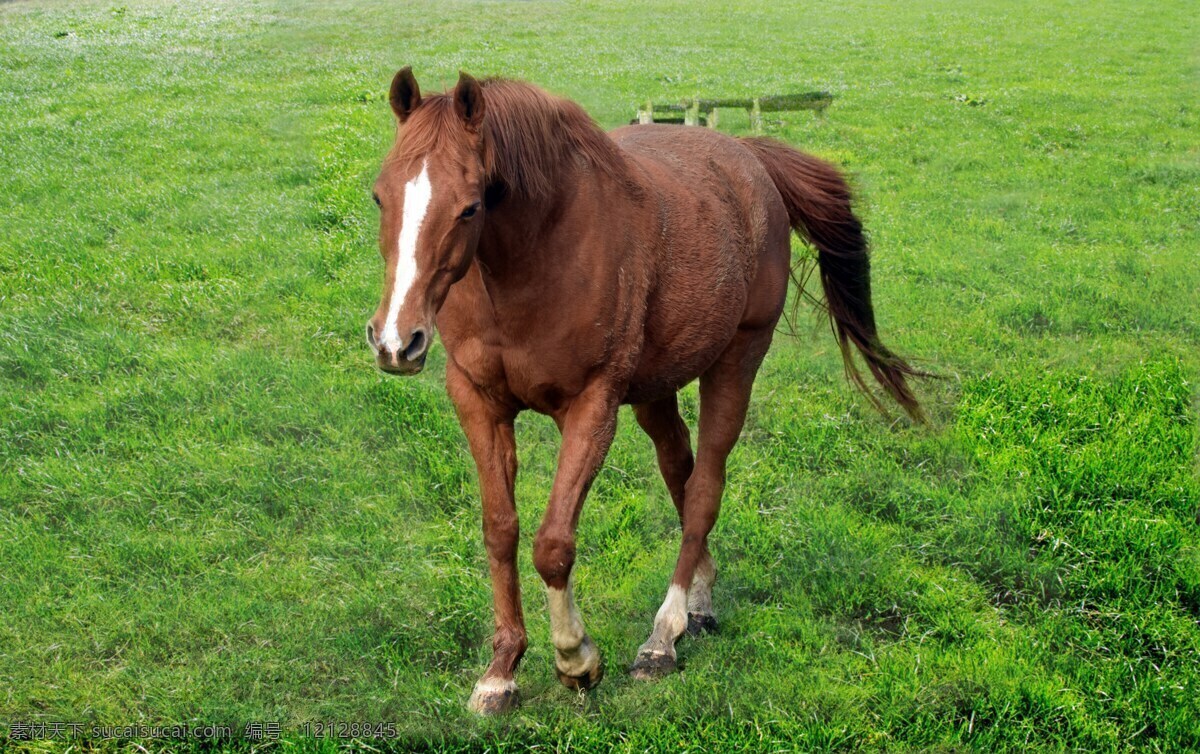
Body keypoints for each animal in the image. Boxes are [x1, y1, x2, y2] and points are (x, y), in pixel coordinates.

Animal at [362, 69, 916, 710]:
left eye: (470, 206)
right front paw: (501, 670)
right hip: (655, 392)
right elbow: (500, 531)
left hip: (736, 362)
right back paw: (699, 600)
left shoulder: (592, 406)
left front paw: (576, 658)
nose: (395, 340)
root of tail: (749, 158)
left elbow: (553, 543)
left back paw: (663, 636)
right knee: (681, 470)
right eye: (380, 196)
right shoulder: (477, 399)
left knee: (704, 490)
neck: (536, 255)